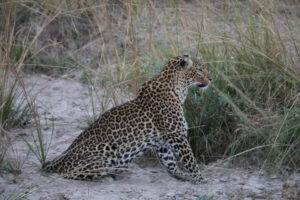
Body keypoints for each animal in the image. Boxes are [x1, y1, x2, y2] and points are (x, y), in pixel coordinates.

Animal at [43, 53, 212, 184]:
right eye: (200, 69)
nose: (211, 79)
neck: (179, 89)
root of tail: (60, 159)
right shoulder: (177, 135)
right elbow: (190, 160)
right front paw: (200, 178)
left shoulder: (162, 142)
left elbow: (170, 163)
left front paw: (182, 175)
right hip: (106, 155)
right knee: (70, 174)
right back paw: (107, 177)